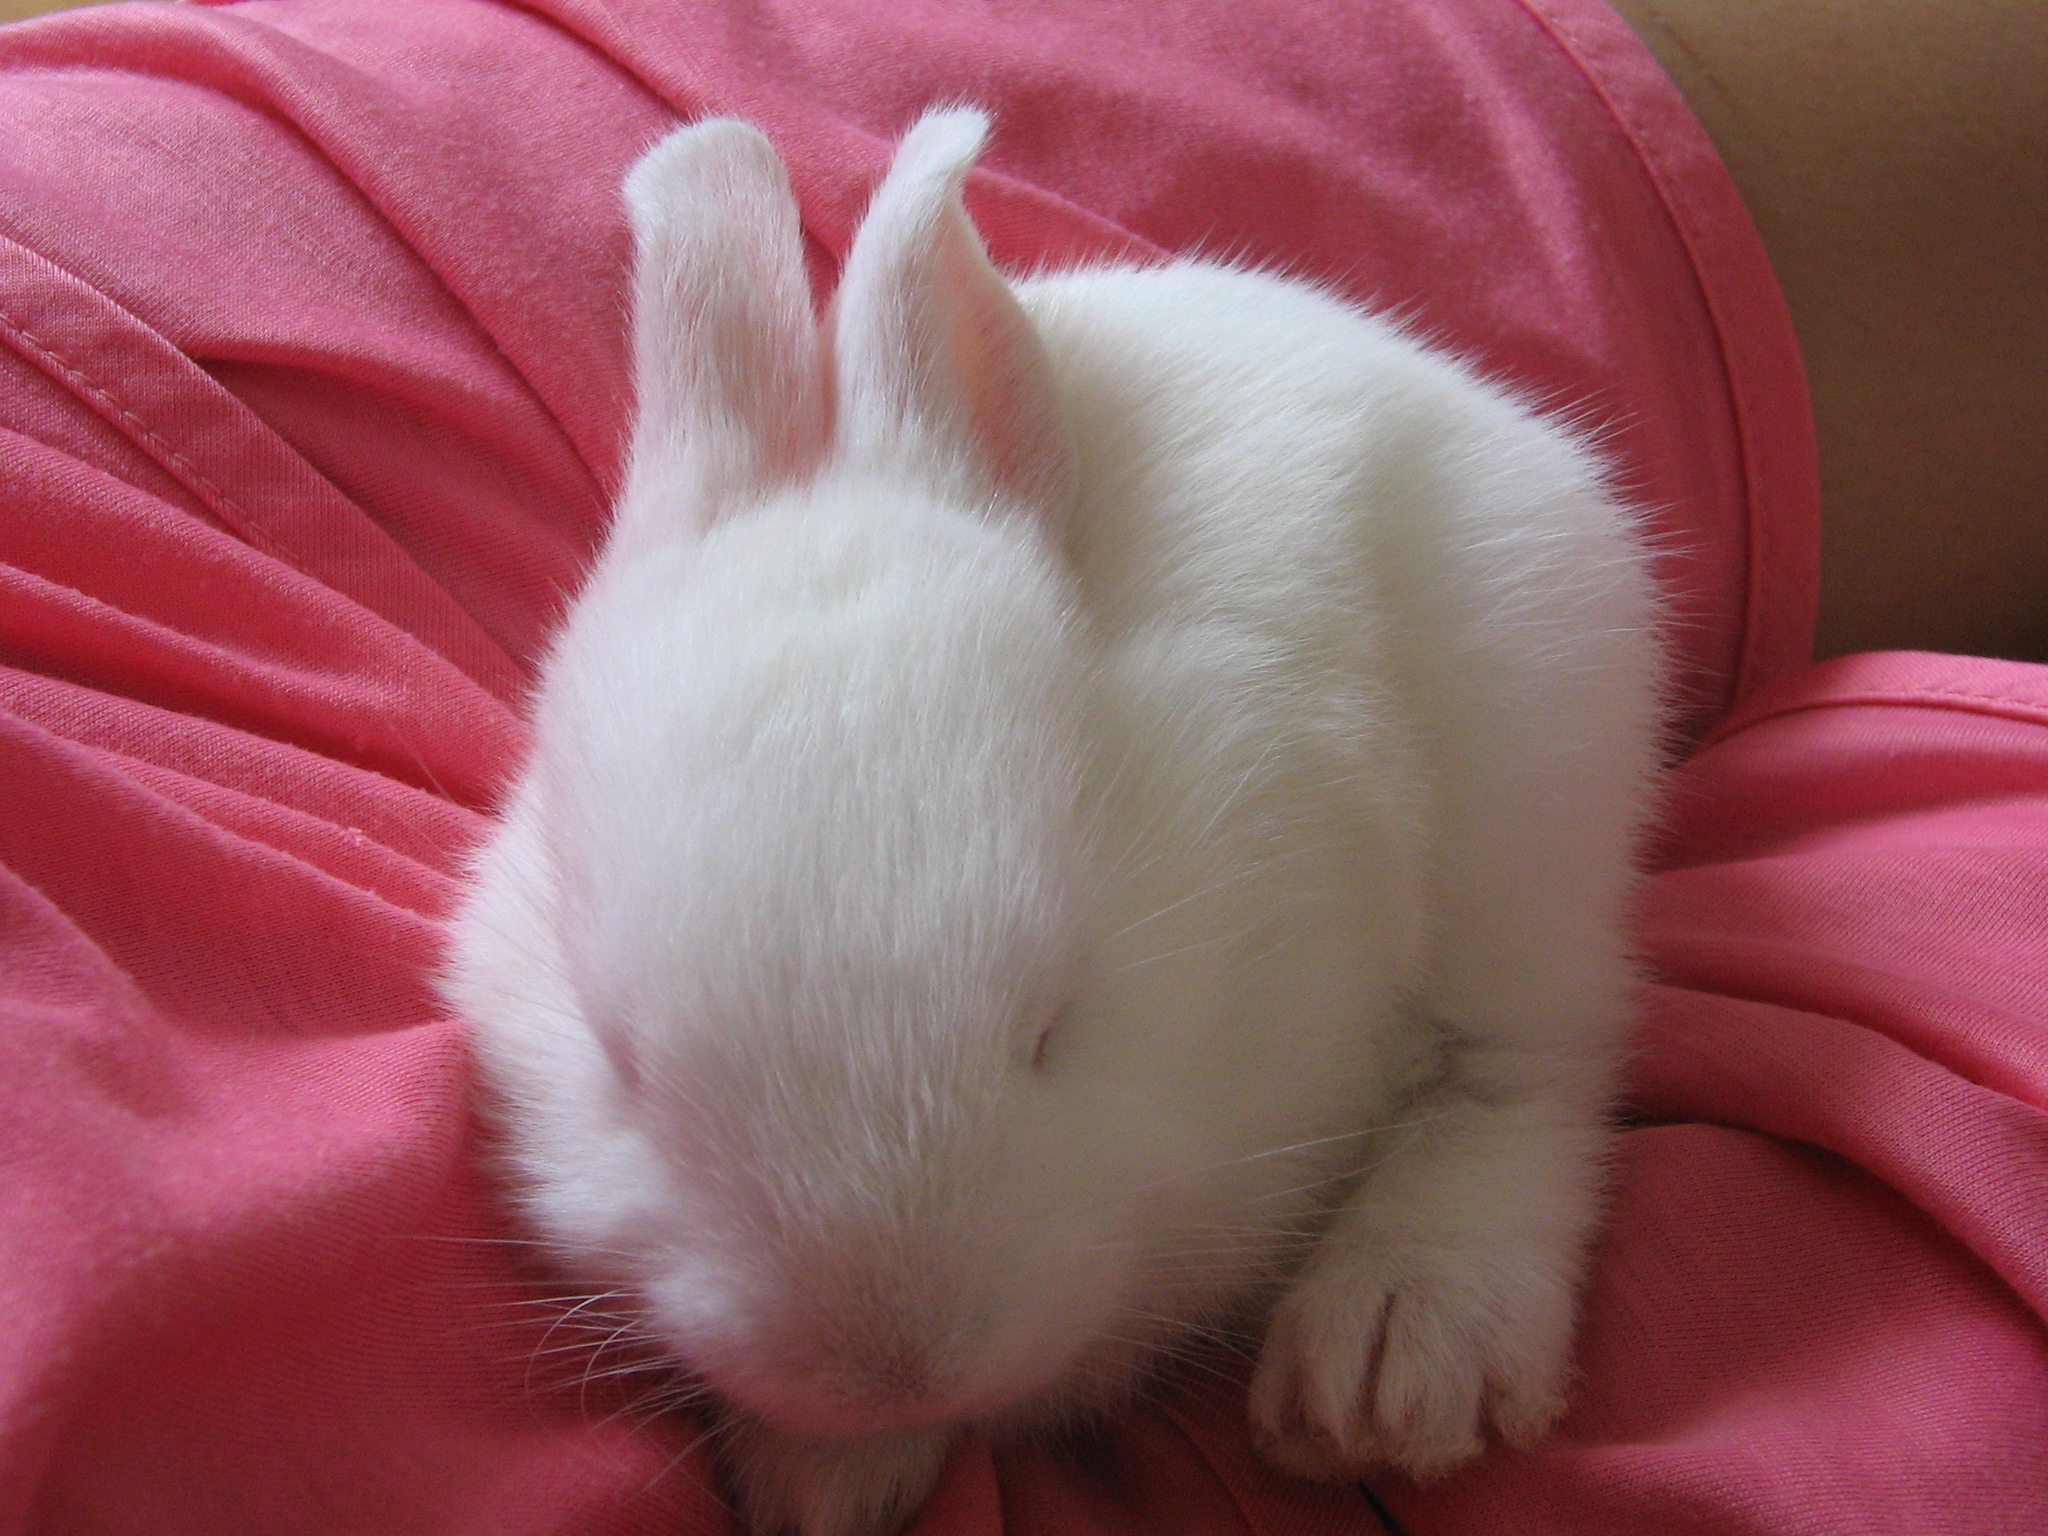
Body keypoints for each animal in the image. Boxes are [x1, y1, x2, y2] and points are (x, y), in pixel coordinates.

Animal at [441, 106, 1667, 1536]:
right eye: (616, 1059)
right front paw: (824, 1480)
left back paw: (1394, 1353)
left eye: (1053, 1024)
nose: (887, 1362)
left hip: (1530, 789)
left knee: (1526, 1073)